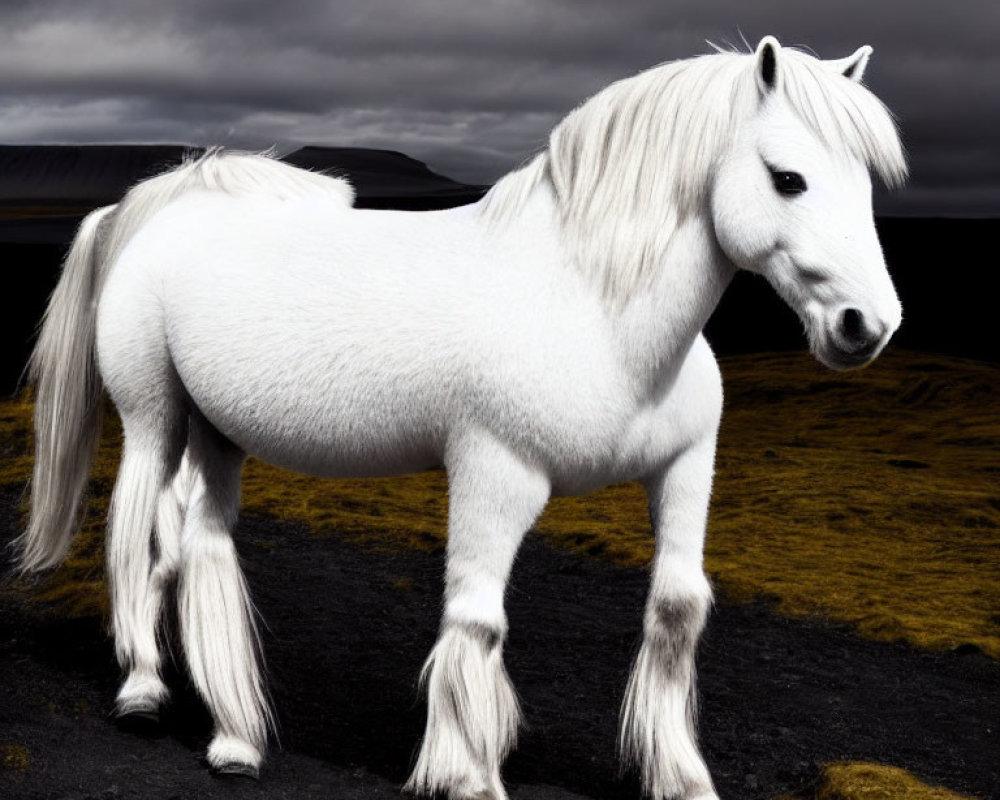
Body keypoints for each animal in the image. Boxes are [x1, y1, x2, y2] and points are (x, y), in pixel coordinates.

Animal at [17, 36, 908, 800]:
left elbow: (678, 610)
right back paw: (142, 689)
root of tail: (162, 208)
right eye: (788, 178)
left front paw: (679, 775)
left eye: (866, 182)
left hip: (220, 435)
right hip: (154, 419)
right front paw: (467, 772)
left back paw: (235, 738)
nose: (867, 325)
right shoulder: (494, 474)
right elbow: (477, 622)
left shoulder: (687, 467)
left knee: (198, 544)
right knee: (137, 532)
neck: (591, 307)